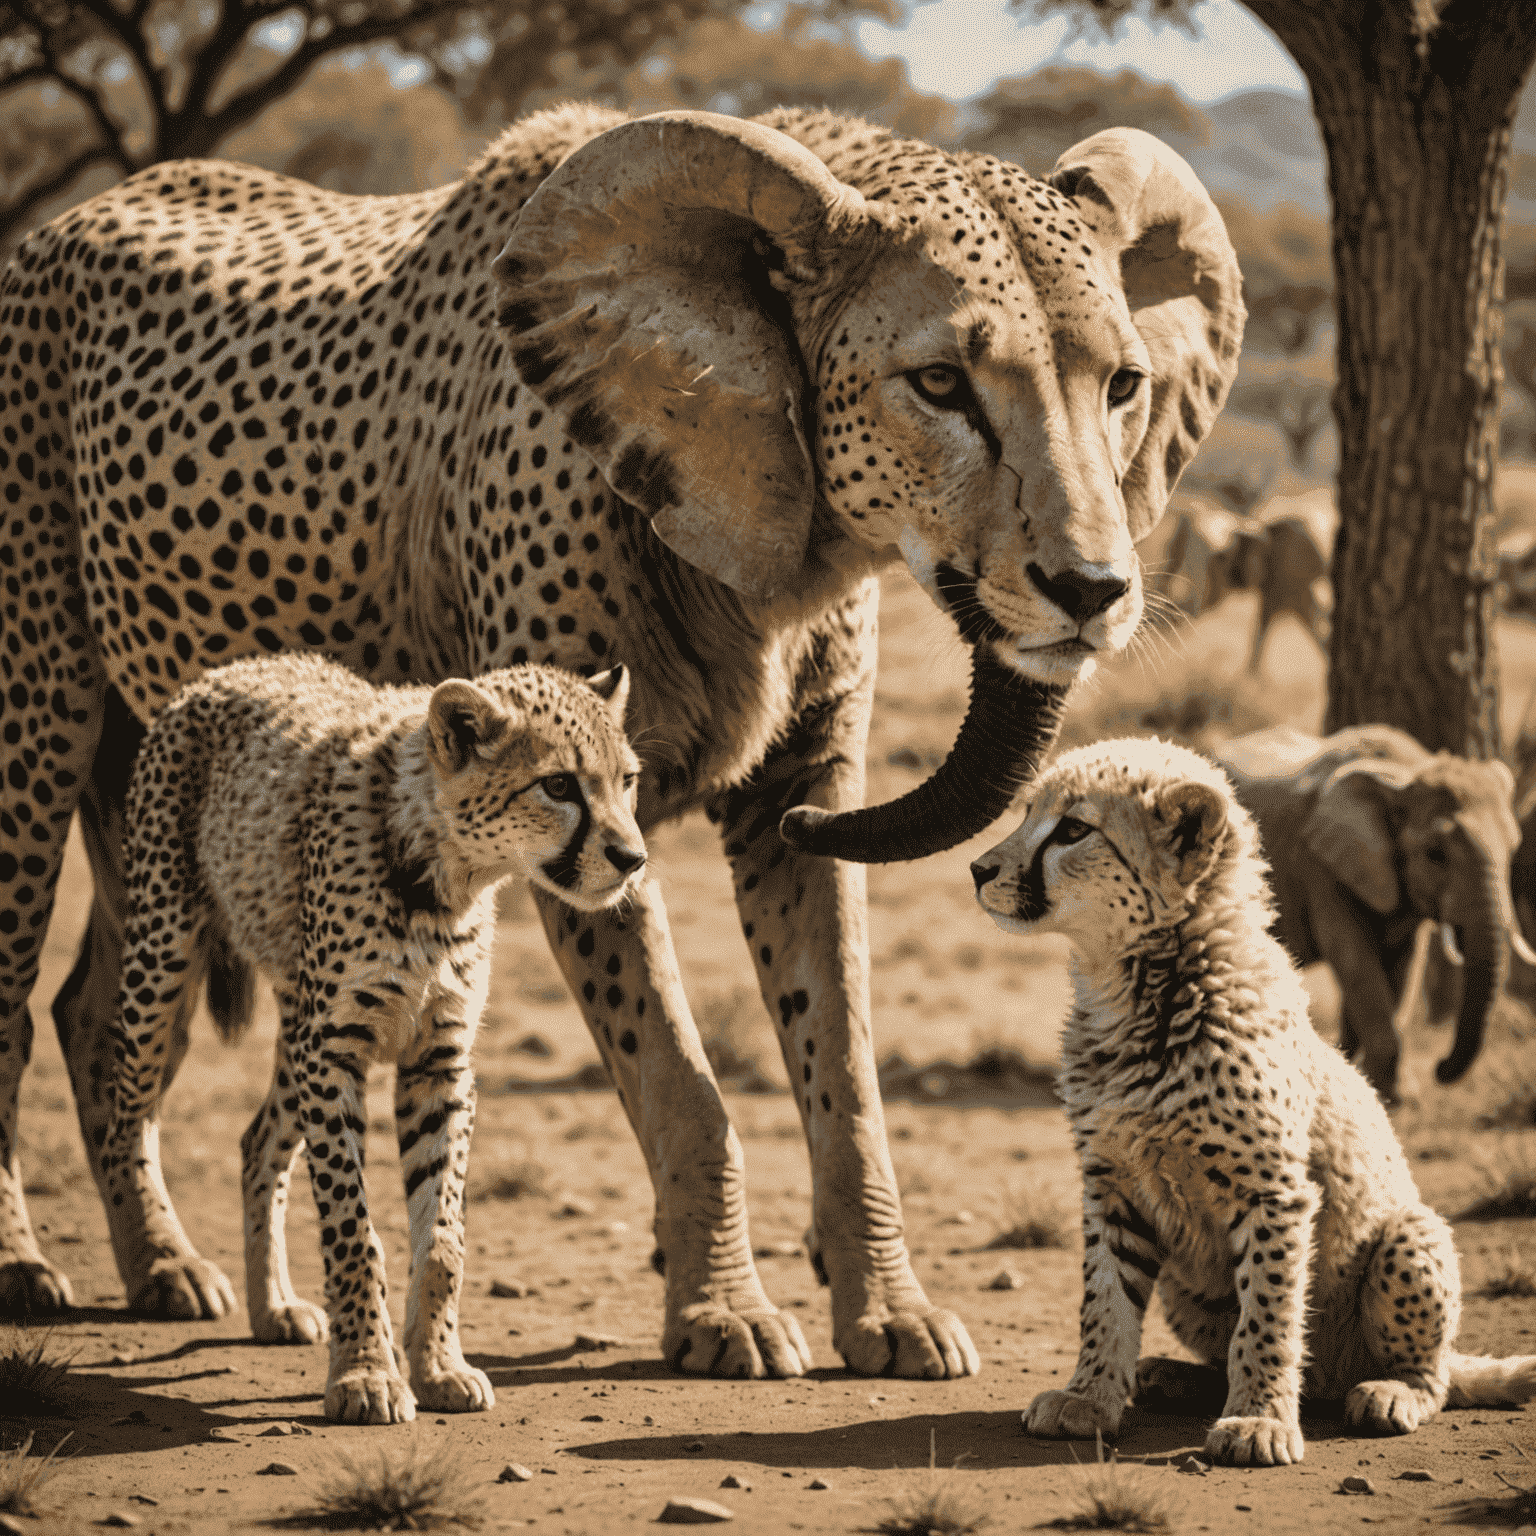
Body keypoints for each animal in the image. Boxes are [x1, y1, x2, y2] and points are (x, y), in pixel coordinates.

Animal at [1216, 721, 1529, 1099]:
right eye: (1434, 855)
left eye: (1514, 847)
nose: (1440, 1068)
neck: (1404, 776)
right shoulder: (1319, 866)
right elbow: (1356, 961)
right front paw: (1387, 1093)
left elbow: (1402, 968)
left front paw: (1366, 1082)